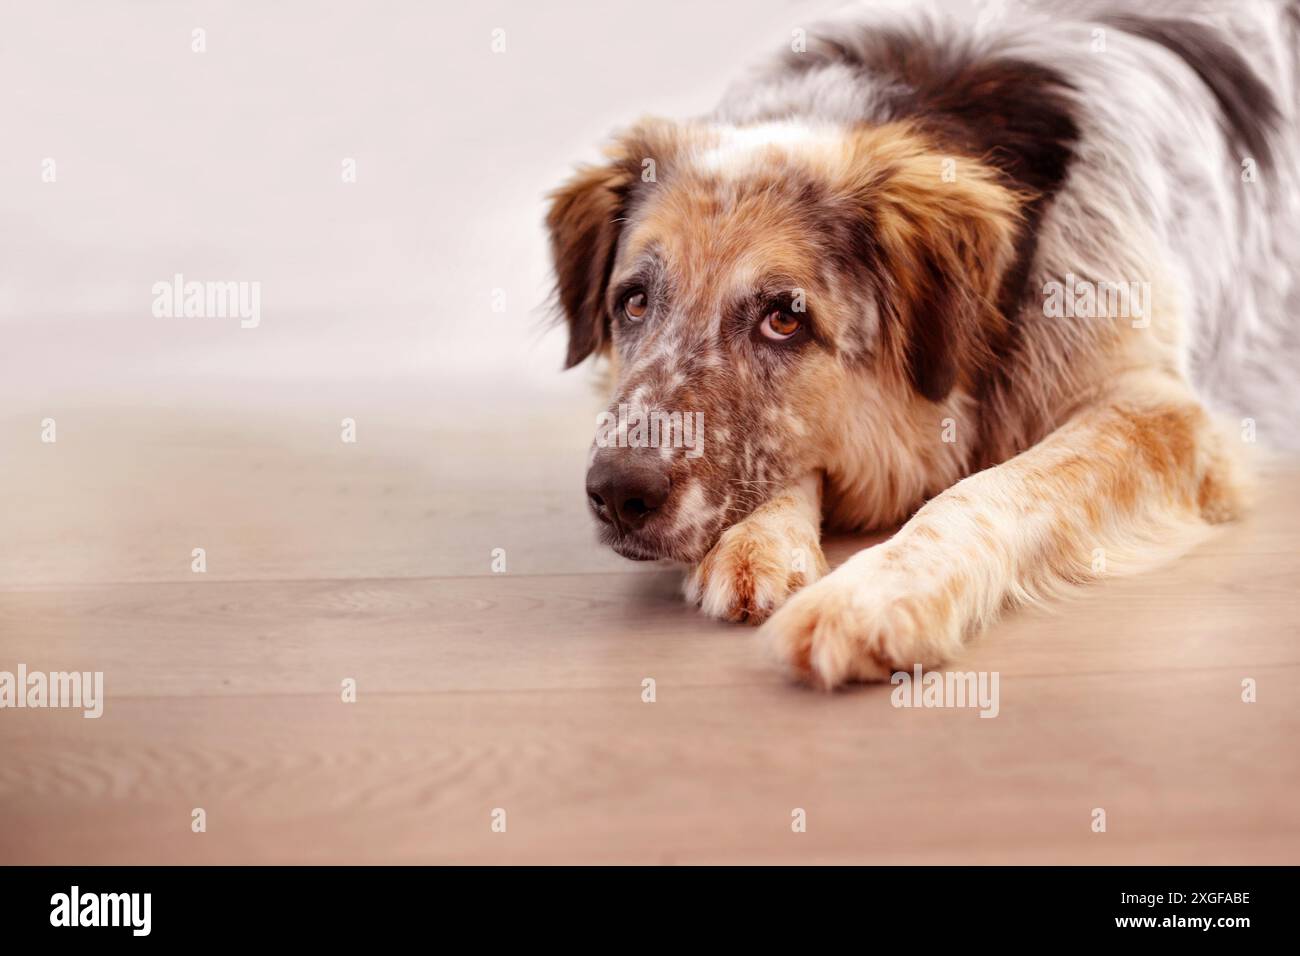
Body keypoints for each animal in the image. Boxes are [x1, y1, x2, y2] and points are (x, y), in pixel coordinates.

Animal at [543, 0, 1294, 686]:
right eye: (634, 302)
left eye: (783, 319)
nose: (617, 494)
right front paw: (760, 539)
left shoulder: (1161, 408)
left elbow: (997, 487)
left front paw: (870, 594)